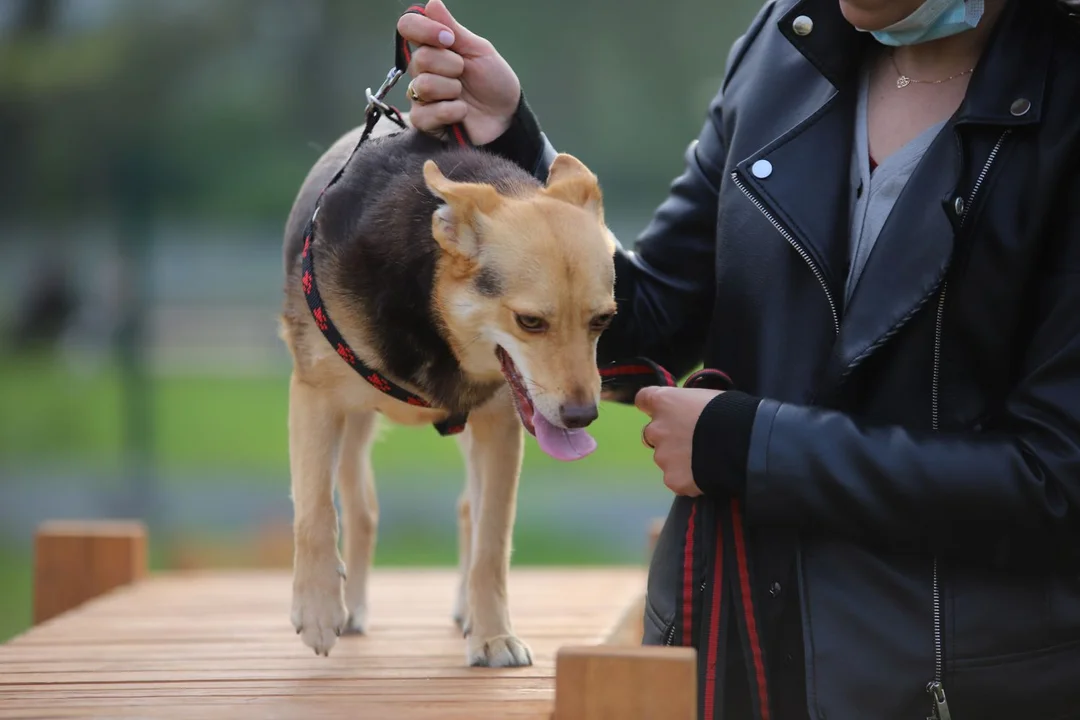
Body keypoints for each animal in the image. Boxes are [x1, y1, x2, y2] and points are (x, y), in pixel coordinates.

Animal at [278, 115, 617, 669]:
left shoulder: (500, 422)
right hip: (354, 423)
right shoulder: (314, 394)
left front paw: (494, 636)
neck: (428, 304)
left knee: (465, 513)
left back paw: (467, 614)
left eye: (602, 320)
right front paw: (318, 608)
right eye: (530, 321)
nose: (581, 417)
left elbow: (491, 542)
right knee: (360, 509)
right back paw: (352, 608)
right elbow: (313, 508)